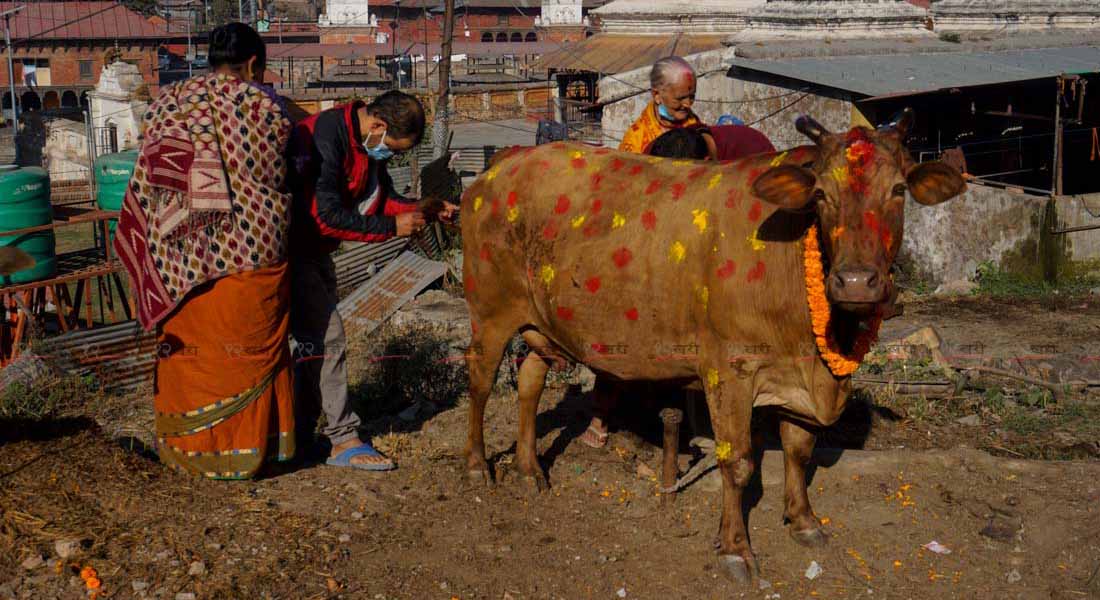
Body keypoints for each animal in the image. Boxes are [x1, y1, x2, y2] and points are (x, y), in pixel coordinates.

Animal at [459, 110, 968, 581]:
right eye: (821, 194)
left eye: (899, 190)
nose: (857, 282)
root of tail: (503, 163)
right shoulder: (730, 369)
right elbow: (738, 462)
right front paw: (735, 549)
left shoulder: (800, 373)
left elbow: (800, 449)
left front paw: (804, 520)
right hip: (489, 312)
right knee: (480, 381)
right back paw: (477, 466)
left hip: (539, 323)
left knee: (530, 379)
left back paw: (529, 469)